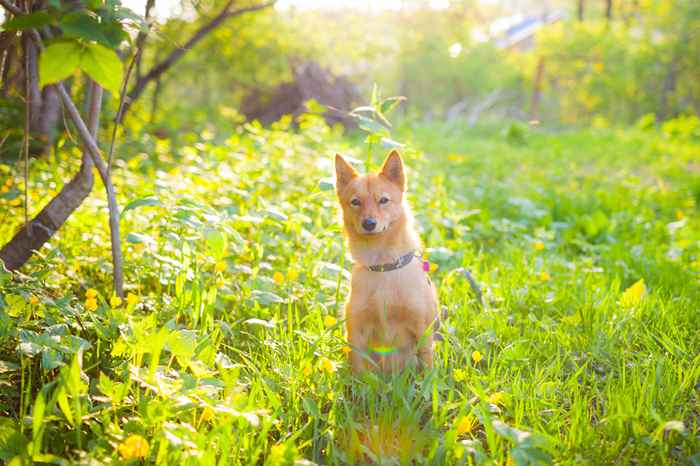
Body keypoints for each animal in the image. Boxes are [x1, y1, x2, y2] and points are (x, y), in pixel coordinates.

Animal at [334, 151, 438, 374]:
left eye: (383, 200)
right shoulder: (356, 333)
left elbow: (427, 369)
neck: (382, 267)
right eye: (355, 202)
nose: (369, 223)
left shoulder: (422, 332)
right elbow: (358, 373)